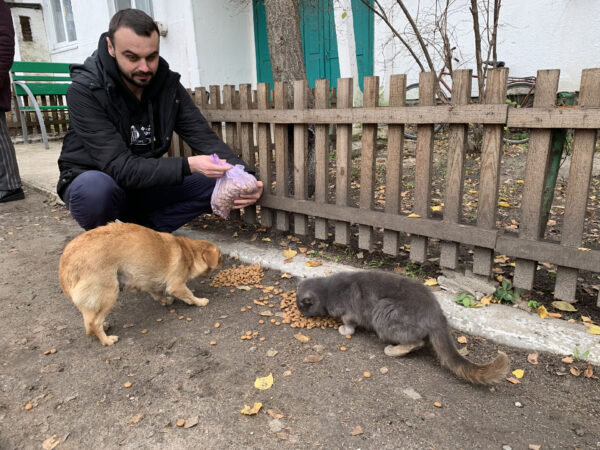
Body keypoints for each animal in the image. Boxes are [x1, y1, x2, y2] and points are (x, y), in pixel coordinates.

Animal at [58, 221, 221, 344]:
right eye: (219, 258)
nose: (222, 262)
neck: (188, 252)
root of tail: (66, 265)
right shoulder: (177, 285)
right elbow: (189, 295)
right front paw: (199, 301)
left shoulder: (150, 281)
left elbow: (158, 293)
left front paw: (165, 300)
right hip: (109, 293)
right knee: (93, 322)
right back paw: (107, 340)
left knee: (90, 319)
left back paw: (104, 326)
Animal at [298, 270, 508, 384]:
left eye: (301, 306)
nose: (300, 312)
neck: (327, 289)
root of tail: (437, 314)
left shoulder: (349, 312)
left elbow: (349, 323)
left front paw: (343, 329)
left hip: (384, 310)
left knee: (416, 342)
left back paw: (393, 350)